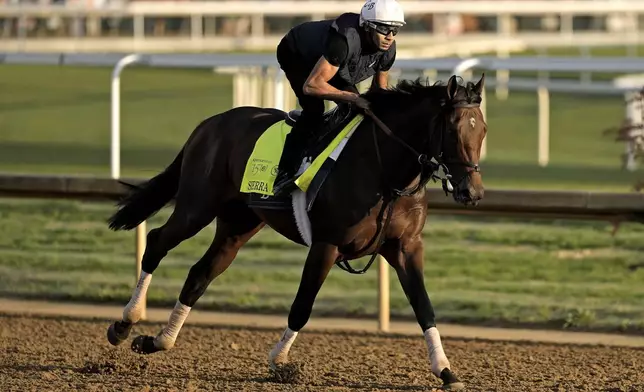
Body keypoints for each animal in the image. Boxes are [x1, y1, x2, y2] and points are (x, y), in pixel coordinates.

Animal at [107, 72, 488, 388]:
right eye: (453, 130)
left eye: (482, 129)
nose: (472, 191)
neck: (385, 173)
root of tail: (209, 124)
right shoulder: (326, 244)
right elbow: (302, 305)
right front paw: (280, 361)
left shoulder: (405, 247)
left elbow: (424, 307)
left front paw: (446, 370)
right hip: (196, 206)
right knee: (157, 241)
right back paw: (125, 323)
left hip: (237, 225)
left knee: (200, 274)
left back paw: (158, 340)